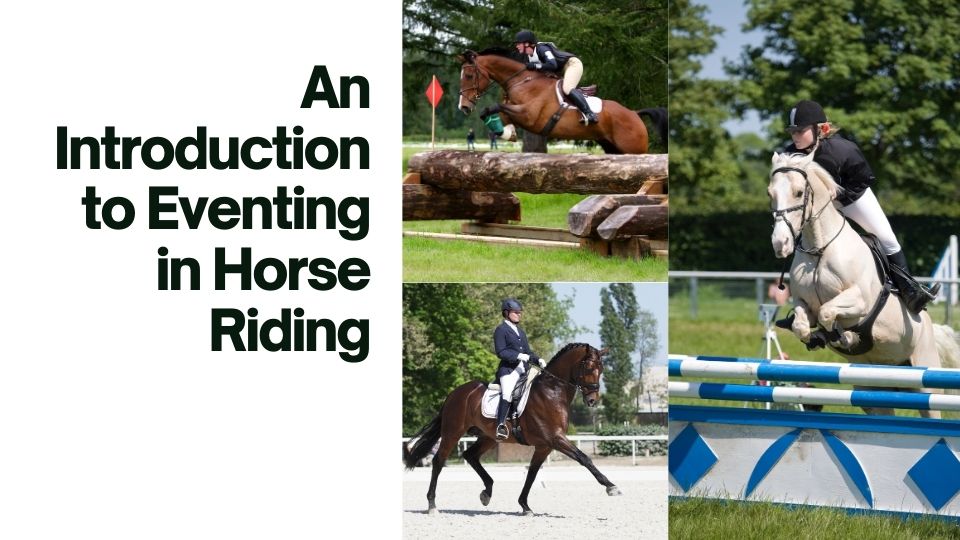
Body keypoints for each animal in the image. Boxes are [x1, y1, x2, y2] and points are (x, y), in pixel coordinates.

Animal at [402, 343, 620, 516]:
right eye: (589, 366)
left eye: (601, 368)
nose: (592, 400)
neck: (552, 392)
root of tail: (455, 393)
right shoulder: (556, 439)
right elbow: (584, 458)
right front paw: (611, 487)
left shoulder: (545, 446)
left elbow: (532, 473)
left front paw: (525, 506)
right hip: (452, 432)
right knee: (439, 461)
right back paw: (432, 505)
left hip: (488, 437)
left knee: (470, 455)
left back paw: (486, 492)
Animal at [456, 48, 666, 155]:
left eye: (468, 75)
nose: (463, 107)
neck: (522, 81)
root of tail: (634, 114)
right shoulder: (514, 112)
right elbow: (492, 114)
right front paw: (507, 133)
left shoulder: (529, 116)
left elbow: (495, 107)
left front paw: (507, 133)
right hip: (612, 148)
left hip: (634, 149)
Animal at [768, 151, 960, 417]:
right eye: (770, 194)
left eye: (798, 192)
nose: (780, 244)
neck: (819, 249)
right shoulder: (803, 303)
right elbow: (801, 325)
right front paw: (818, 338)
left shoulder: (859, 301)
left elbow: (828, 312)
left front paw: (845, 338)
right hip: (872, 392)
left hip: (926, 381)